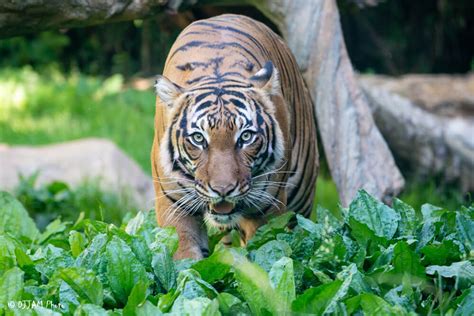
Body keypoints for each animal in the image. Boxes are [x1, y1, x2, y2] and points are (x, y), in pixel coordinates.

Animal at [152, 13, 320, 258]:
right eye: (199, 139)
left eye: (246, 137)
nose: (223, 190)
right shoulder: (175, 206)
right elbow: (184, 256)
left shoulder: (266, 209)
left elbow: (263, 250)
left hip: (301, 193)